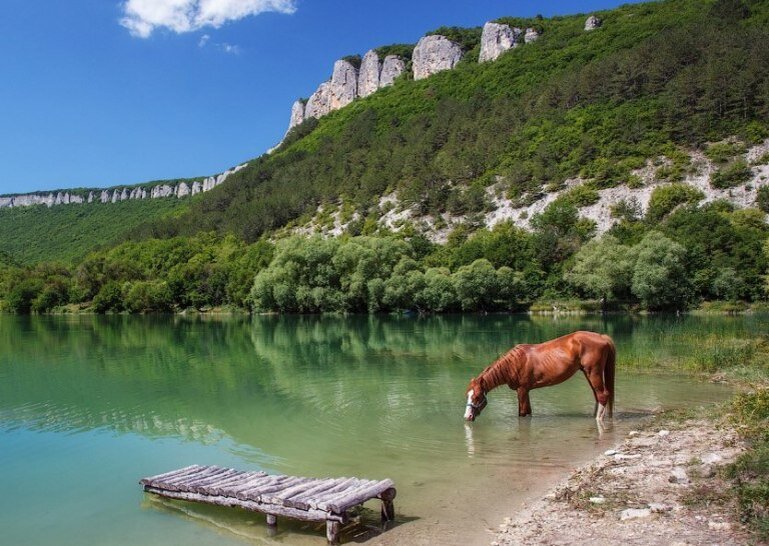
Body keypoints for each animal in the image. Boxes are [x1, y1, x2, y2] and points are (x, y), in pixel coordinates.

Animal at [462, 328, 616, 420]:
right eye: (467, 395)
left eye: (477, 396)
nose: (467, 416)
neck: (513, 364)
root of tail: (602, 337)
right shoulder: (525, 391)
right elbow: (528, 411)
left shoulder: (522, 390)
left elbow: (523, 413)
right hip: (588, 373)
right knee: (597, 395)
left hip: (594, 372)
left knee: (602, 395)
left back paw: (598, 419)